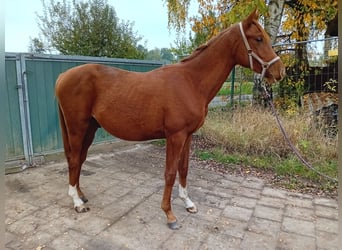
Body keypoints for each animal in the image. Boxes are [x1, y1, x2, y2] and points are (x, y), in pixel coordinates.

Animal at [56, 9, 286, 229]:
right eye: (258, 38)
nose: (280, 71)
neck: (191, 81)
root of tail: (63, 76)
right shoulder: (175, 136)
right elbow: (170, 172)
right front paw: (169, 214)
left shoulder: (188, 136)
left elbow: (183, 169)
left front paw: (188, 203)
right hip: (77, 127)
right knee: (74, 159)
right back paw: (77, 202)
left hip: (90, 128)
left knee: (80, 158)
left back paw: (81, 195)